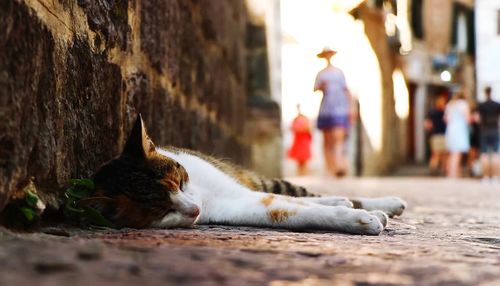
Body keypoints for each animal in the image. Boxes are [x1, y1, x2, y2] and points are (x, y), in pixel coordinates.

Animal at [86, 115, 406, 236]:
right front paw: (357, 219)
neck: (204, 195)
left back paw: (386, 203)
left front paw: (366, 214)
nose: (195, 209)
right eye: (162, 211)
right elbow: (290, 210)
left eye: (179, 183)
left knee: (298, 192)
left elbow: (294, 201)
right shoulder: (239, 206)